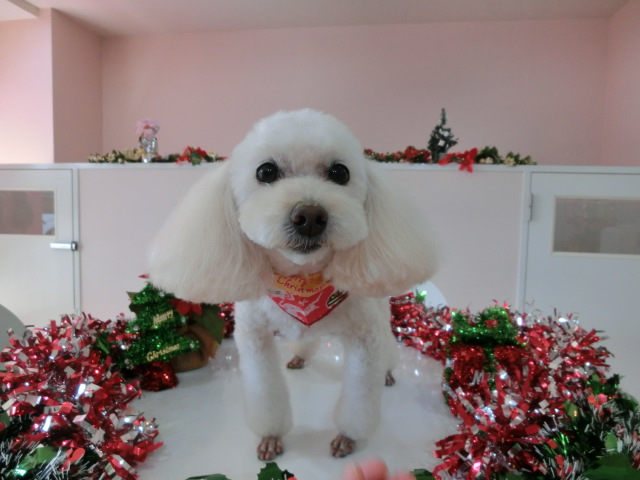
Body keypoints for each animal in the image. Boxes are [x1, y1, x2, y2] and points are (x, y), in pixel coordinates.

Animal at [148, 109, 437, 460]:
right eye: (266, 171)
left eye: (340, 172)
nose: (310, 216)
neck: (303, 282)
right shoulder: (255, 340)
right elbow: (266, 393)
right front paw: (271, 436)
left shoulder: (364, 341)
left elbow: (359, 398)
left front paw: (348, 436)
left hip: (379, 313)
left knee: (388, 347)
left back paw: (388, 371)